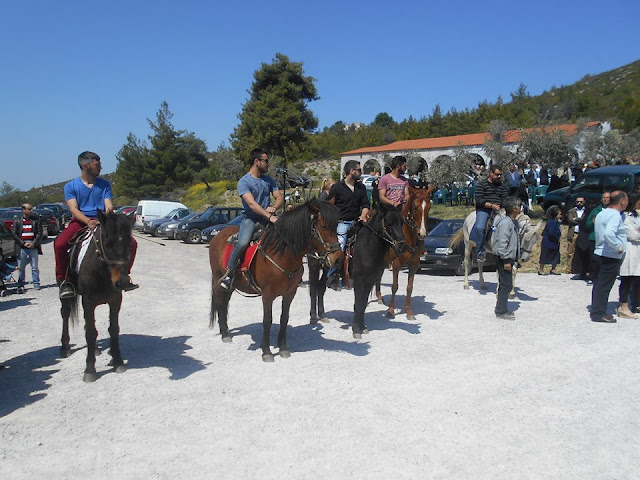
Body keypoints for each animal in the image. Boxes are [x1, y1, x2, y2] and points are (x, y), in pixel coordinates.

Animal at [61, 210, 134, 382]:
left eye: (129, 244)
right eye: (106, 243)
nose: (122, 282)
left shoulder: (115, 300)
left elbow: (113, 329)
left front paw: (118, 361)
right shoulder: (88, 302)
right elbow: (90, 332)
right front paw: (90, 370)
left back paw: (94, 349)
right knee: (65, 313)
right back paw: (65, 347)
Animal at [210, 198, 342, 360]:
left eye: (336, 226)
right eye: (323, 226)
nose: (338, 259)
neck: (282, 255)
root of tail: (217, 235)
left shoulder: (290, 293)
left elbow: (284, 317)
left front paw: (283, 347)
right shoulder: (268, 295)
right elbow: (267, 320)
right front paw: (266, 351)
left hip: (231, 286)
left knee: (224, 304)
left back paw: (225, 330)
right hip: (218, 281)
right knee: (220, 303)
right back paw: (225, 334)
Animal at [348, 204, 408, 340]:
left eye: (401, 222)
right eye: (389, 222)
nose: (402, 247)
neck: (367, 247)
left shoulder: (369, 281)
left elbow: (363, 304)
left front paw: (363, 327)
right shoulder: (359, 281)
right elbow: (358, 303)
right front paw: (356, 330)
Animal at [376, 186, 436, 320]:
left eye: (429, 207)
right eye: (415, 207)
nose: (422, 233)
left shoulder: (414, 264)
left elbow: (409, 288)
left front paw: (409, 312)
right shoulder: (396, 264)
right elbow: (394, 286)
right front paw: (391, 311)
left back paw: (379, 298)